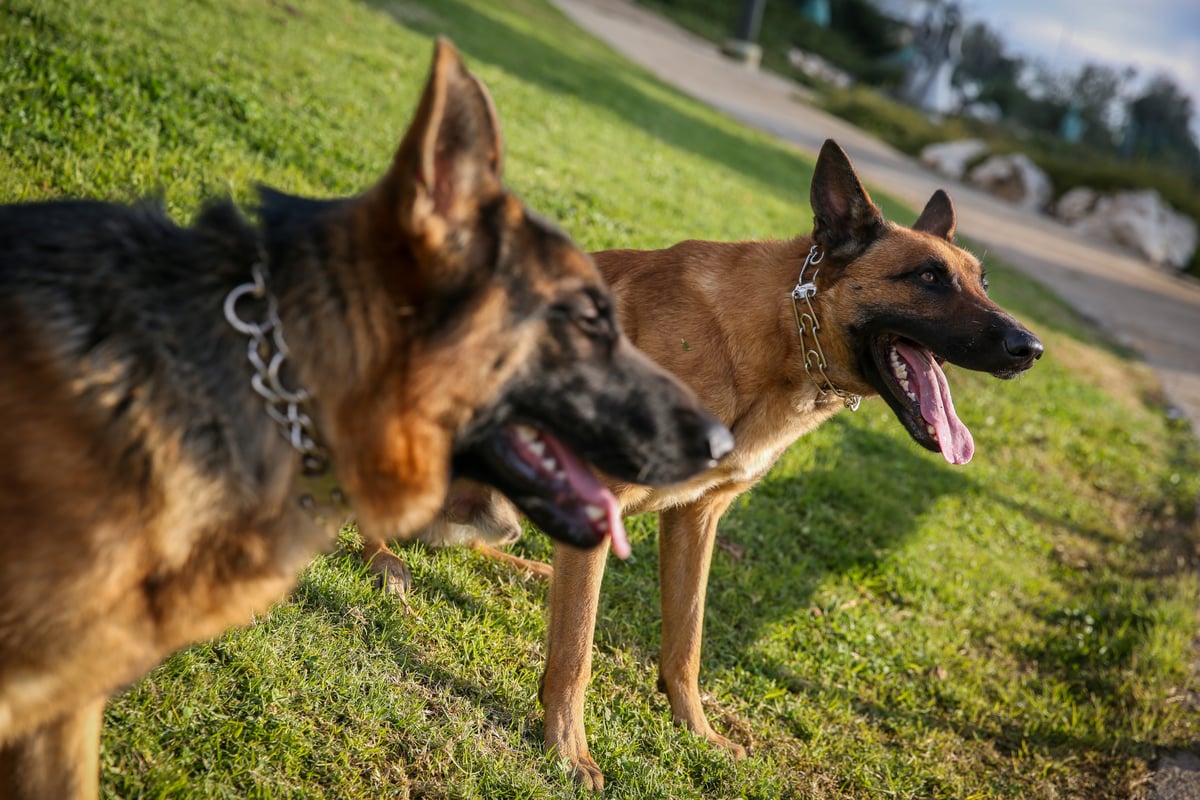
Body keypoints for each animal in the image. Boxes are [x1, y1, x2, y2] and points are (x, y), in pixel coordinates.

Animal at [381, 139, 1041, 786]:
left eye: (983, 283)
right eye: (928, 277)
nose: (1030, 348)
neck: (776, 337)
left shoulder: (697, 518)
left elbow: (686, 643)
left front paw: (696, 732)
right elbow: (575, 653)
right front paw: (568, 752)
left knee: (467, 541)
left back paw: (528, 570)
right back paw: (388, 562)